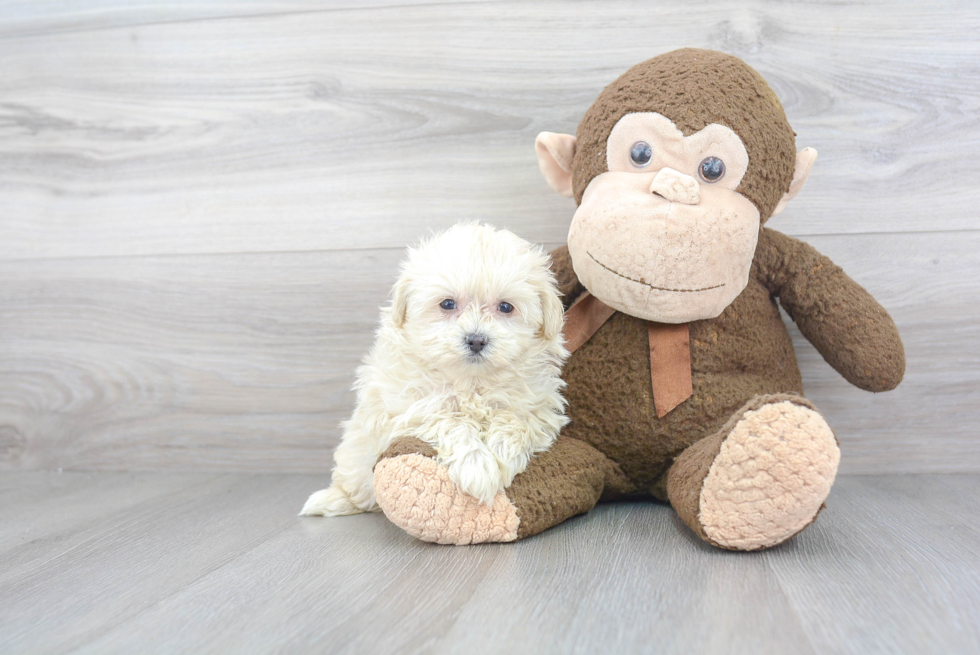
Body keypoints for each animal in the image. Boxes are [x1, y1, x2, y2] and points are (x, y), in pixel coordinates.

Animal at [302, 224, 572, 516]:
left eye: (505, 307)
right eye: (447, 304)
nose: (476, 340)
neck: (471, 382)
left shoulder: (538, 407)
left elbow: (516, 422)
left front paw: (501, 453)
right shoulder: (410, 408)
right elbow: (450, 421)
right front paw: (477, 468)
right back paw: (335, 499)